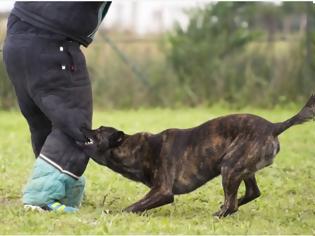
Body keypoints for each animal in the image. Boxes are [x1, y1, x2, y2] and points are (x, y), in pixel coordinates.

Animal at [77, 95, 315, 217]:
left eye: (99, 130)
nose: (83, 126)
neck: (137, 149)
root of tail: (274, 127)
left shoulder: (163, 191)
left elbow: (132, 206)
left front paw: (114, 213)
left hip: (229, 167)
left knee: (233, 203)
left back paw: (220, 214)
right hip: (242, 169)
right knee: (251, 193)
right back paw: (224, 209)